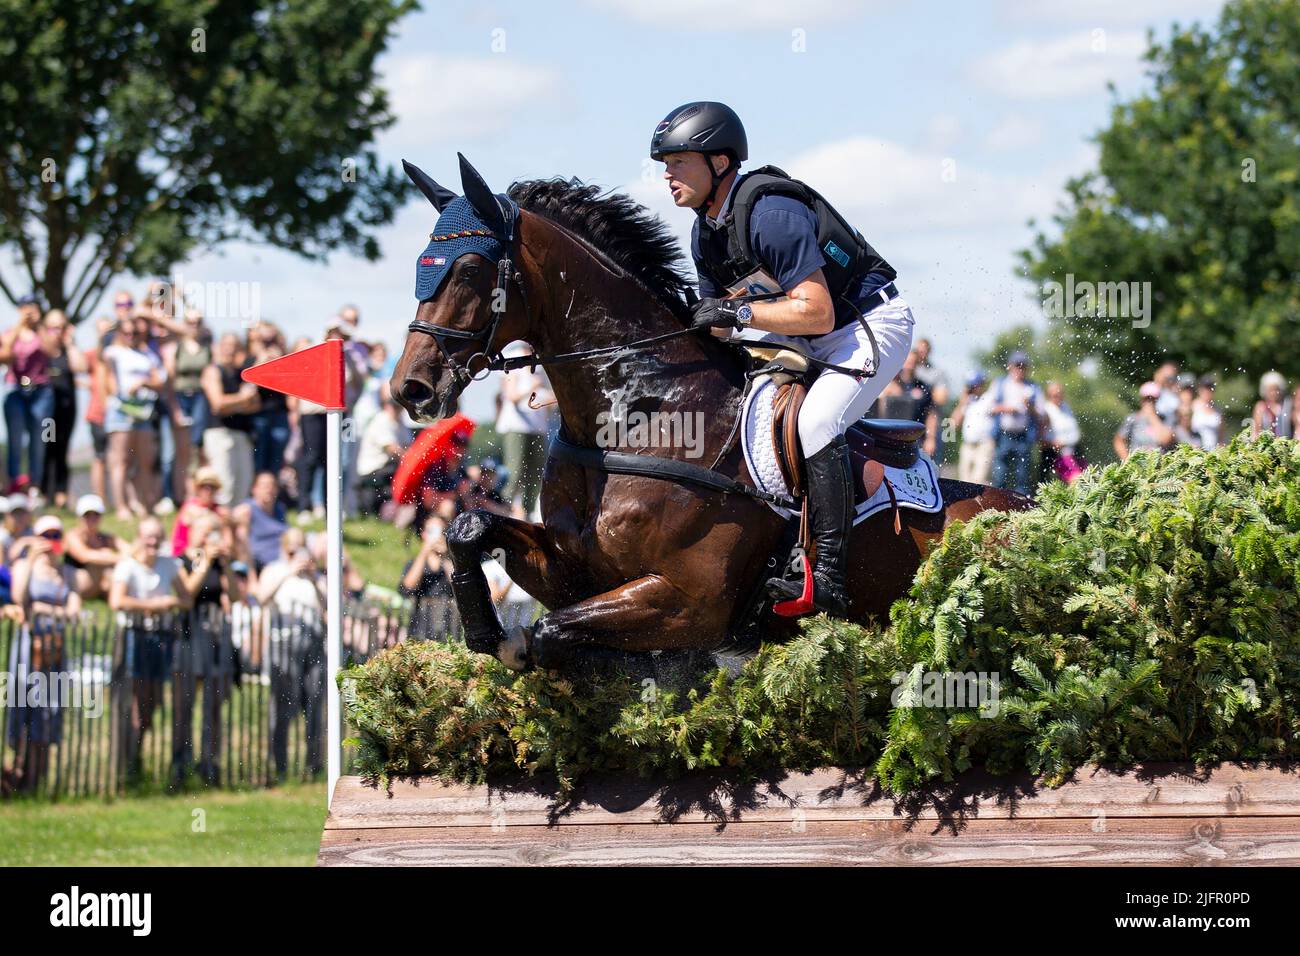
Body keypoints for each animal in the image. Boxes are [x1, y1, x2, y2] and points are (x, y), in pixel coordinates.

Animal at [390, 155, 1029, 671]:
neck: (642, 414)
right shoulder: (578, 570)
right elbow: (471, 528)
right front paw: (485, 631)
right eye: (420, 262)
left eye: (470, 270)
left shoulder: (690, 603)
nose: (410, 389)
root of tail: (1030, 505)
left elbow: (549, 633)